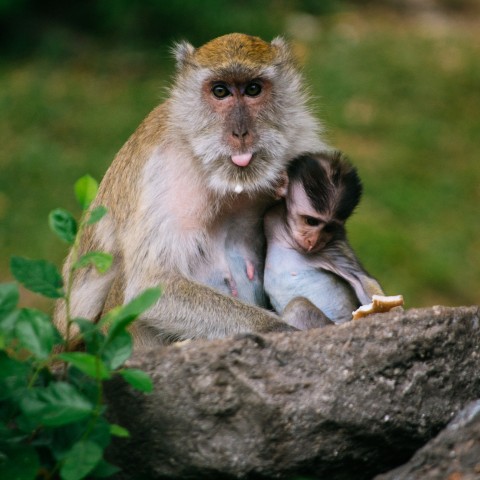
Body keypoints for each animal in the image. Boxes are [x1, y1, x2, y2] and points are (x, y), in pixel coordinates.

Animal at [55, 34, 326, 348]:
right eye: (220, 91)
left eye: (253, 89)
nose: (240, 132)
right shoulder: (166, 171)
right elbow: (154, 286)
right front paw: (277, 328)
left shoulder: (300, 144)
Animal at [260, 152, 384, 328]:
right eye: (311, 221)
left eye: (329, 228)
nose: (313, 241)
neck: (288, 239)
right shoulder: (271, 217)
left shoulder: (332, 244)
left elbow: (361, 279)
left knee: (298, 305)